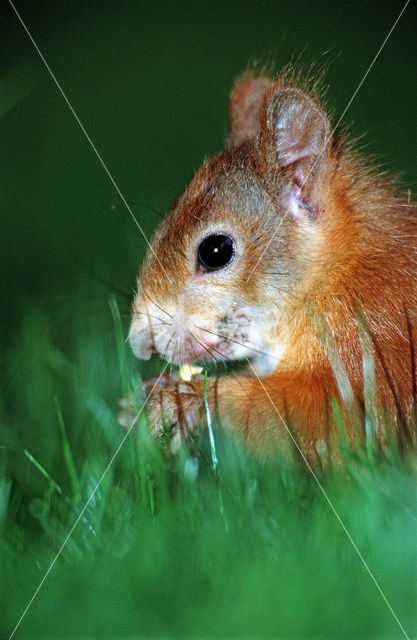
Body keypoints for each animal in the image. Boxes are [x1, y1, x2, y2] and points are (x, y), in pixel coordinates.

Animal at [120, 70, 416, 464]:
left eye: (216, 251)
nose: (141, 342)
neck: (336, 277)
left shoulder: (378, 336)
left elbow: (334, 419)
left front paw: (182, 401)